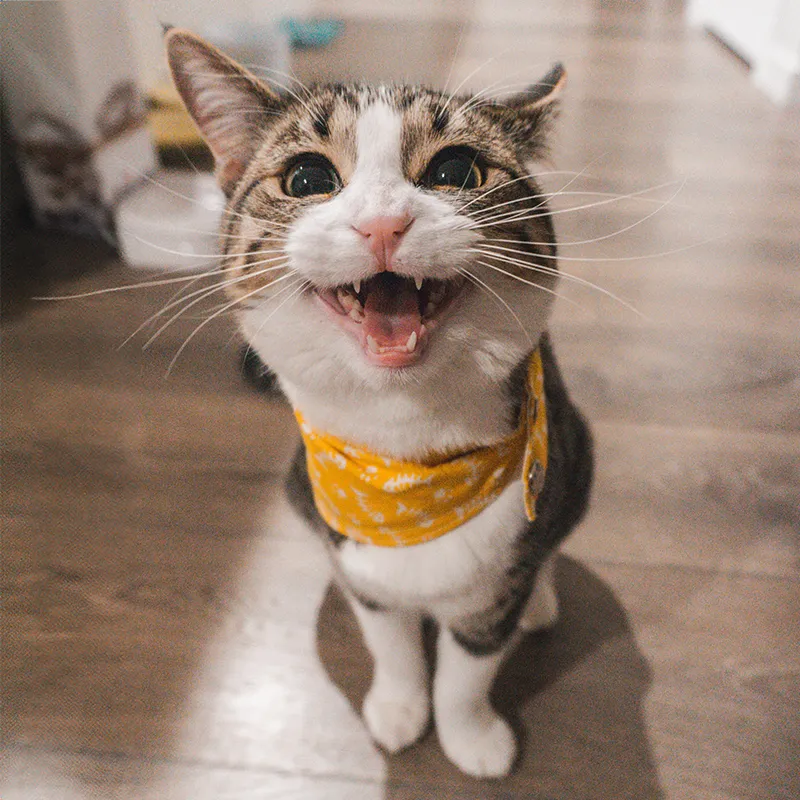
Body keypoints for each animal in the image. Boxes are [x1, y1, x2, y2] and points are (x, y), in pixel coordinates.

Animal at [167, 28, 592, 780]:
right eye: (306, 179)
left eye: (456, 168)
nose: (383, 223)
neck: (406, 460)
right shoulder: (359, 561)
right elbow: (389, 643)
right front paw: (399, 708)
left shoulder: (496, 584)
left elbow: (469, 668)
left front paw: (471, 736)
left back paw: (541, 600)